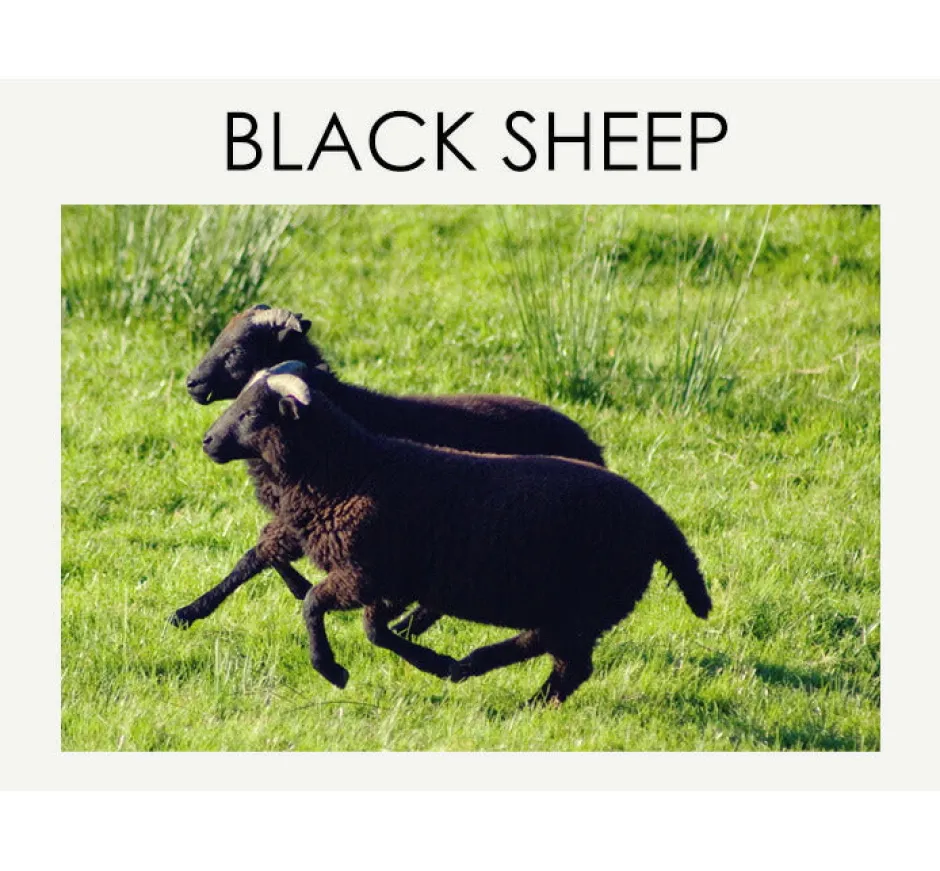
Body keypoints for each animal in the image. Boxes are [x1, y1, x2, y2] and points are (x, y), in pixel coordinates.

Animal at [172, 304, 605, 637]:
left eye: (236, 349)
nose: (192, 383)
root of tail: (592, 448)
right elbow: (258, 555)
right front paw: (194, 611)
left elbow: (259, 556)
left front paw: (190, 611)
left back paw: (406, 627)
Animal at [200, 361, 712, 705]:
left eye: (252, 414)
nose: (206, 441)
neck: (349, 470)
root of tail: (658, 519)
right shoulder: (392, 582)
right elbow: (373, 629)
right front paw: (430, 662)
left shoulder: (365, 574)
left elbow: (313, 605)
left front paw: (332, 671)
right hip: (577, 608)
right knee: (554, 653)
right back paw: (476, 669)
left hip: (587, 603)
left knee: (568, 665)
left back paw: (516, 698)